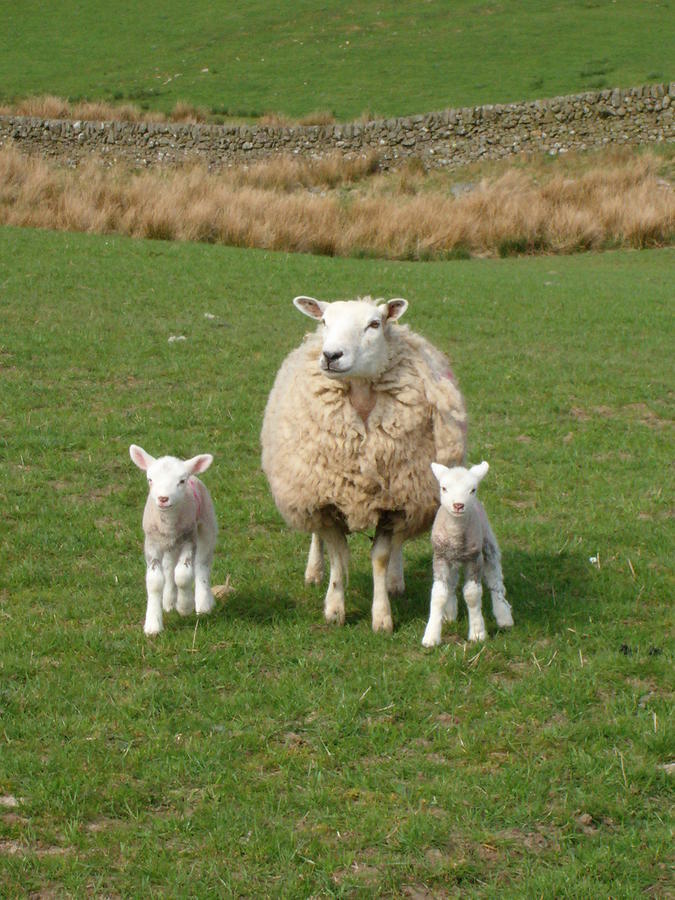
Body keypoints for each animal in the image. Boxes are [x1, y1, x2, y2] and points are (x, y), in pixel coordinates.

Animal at [128, 442, 218, 632]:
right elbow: (155, 580)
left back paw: (203, 604)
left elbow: (183, 574)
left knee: (202, 564)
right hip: (169, 545)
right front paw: (153, 624)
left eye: (181, 481)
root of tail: (195, 476)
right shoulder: (151, 543)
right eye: (150, 479)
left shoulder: (189, 539)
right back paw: (169, 601)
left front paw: (185, 606)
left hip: (207, 525)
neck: (168, 523)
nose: (163, 498)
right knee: (169, 567)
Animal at [262, 296, 468, 632]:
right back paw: (313, 571)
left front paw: (382, 616)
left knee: (399, 540)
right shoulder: (324, 498)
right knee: (316, 535)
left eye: (374, 324)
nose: (331, 355)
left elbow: (381, 556)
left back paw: (396, 580)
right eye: (324, 321)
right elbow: (337, 555)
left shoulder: (397, 501)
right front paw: (334, 608)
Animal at [420, 460, 516, 644]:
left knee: (495, 579)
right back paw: (449, 614)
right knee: (451, 583)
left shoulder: (474, 558)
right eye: (444, 488)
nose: (458, 505)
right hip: (452, 558)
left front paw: (478, 633)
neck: (456, 534)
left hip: (487, 543)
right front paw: (431, 636)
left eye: (473, 489)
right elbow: (439, 594)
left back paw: (503, 615)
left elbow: (472, 594)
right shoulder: (440, 557)